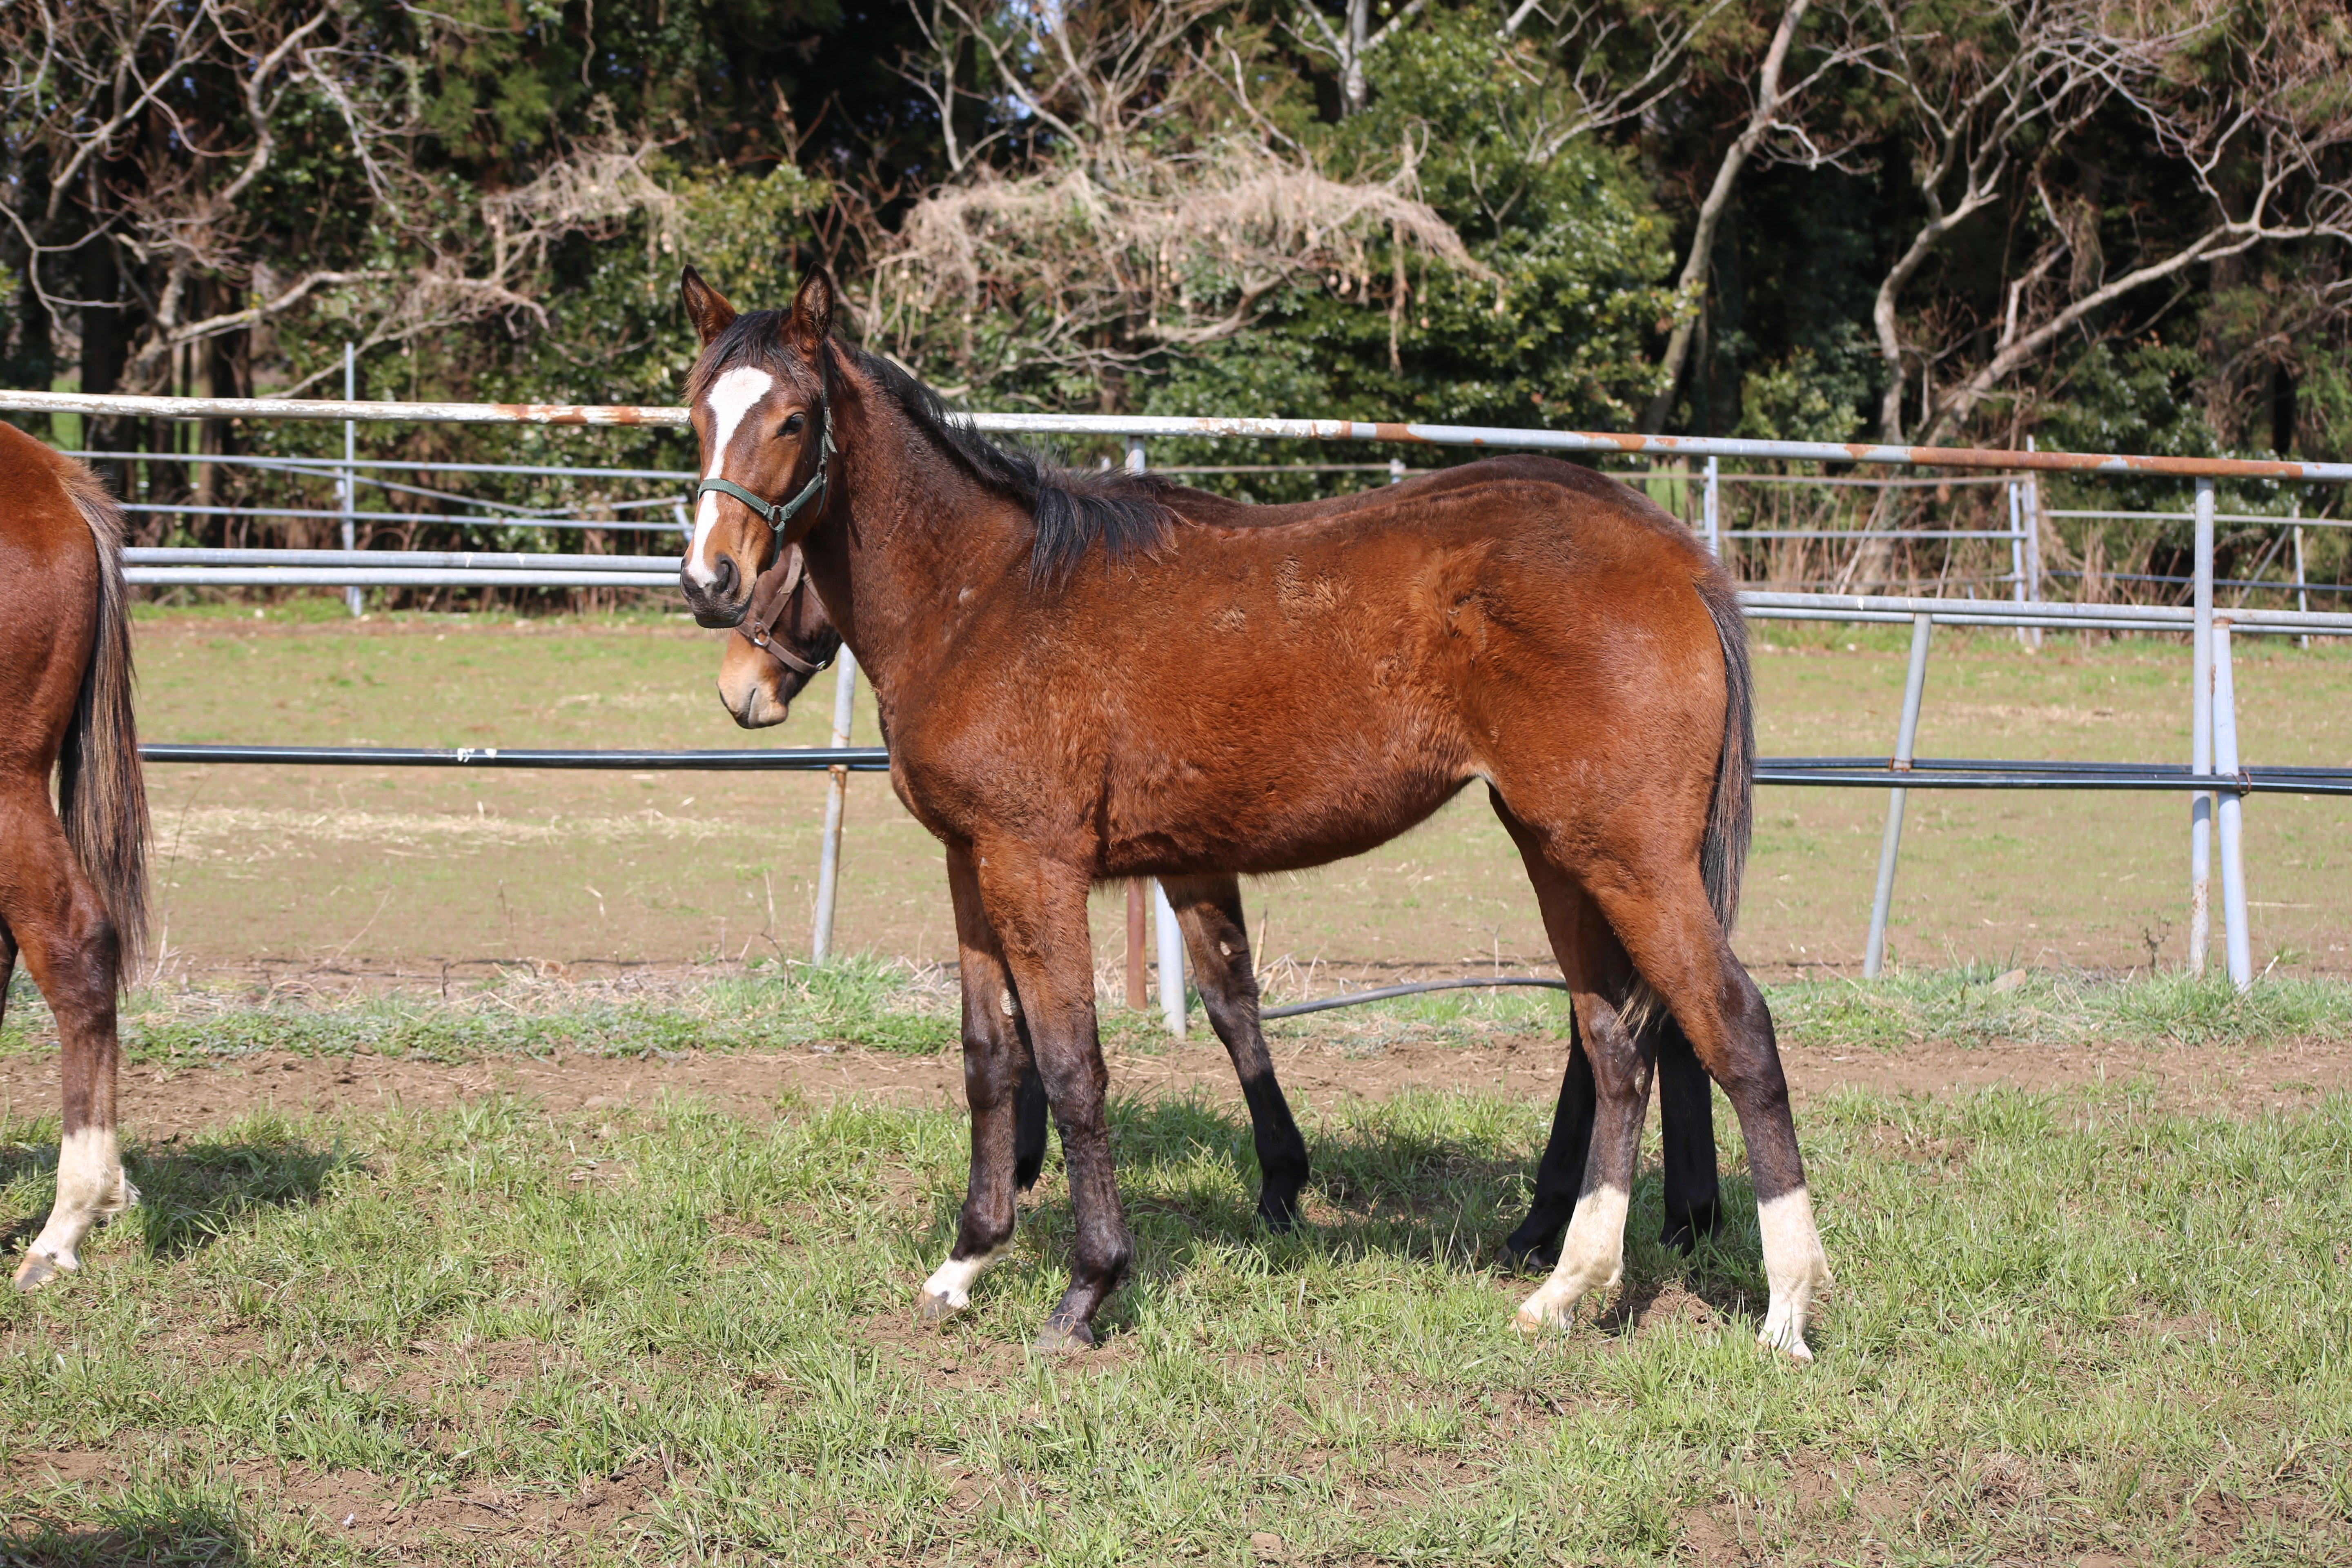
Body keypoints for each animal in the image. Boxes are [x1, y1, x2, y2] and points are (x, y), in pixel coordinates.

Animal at [673, 270, 1825, 1363]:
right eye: (697, 412)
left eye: (793, 419)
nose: (709, 585)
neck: (985, 596)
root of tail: (1678, 556)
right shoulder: (974, 863)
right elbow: (991, 1057)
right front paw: (965, 1264)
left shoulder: (1036, 864)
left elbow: (1073, 1063)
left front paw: (1087, 1288)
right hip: (1560, 851)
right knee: (1616, 1046)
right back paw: (1566, 1285)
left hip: (1631, 859)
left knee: (1732, 1027)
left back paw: (1783, 1307)